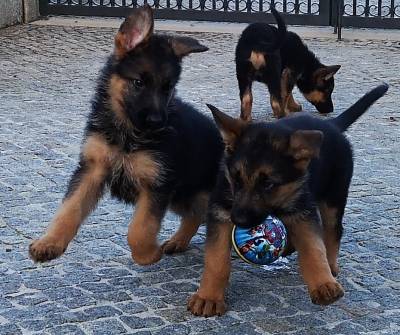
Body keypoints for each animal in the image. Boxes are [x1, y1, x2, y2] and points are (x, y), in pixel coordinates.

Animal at [28, 5, 225, 266]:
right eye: (138, 82)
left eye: (168, 88)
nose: (157, 122)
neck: (126, 134)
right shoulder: (92, 169)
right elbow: (69, 209)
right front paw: (49, 242)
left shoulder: (157, 185)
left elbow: (139, 229)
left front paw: (147, 254)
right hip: (183, 197)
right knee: (194, 215)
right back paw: (178, 241)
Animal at [189, 84, 390, 318]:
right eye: (236, 180)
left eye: (268, 184)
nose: (238, 220)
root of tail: (331, 124)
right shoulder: (220, 212)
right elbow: (216, 259)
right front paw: (209, 297)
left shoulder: (302, 211)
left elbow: (314, 248)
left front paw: (323, 283)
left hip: (334, 198)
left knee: (333, 230)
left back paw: (330, 265)